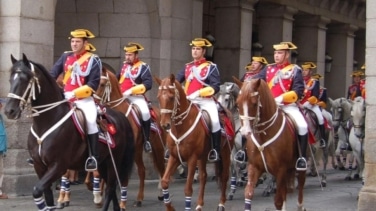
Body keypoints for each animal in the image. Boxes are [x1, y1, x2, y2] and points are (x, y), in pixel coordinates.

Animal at [4, 53, 134, 210]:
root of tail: (120, 116)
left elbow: (37, 190)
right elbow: (47, 196)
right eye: (10, 79)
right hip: (103, 162)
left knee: (110, 188)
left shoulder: (58, 166)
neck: (47, 122)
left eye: (26, 79)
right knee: (111, 187)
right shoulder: (39, 166)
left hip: (114, 160)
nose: (9, 111)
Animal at [94, 67, 167, 208]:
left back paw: (158, 194)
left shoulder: (125, 151)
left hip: (156, 148)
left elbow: (123, 177)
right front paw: (99, 196)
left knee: (160, 169)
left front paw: (122, 203)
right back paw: (141, 198)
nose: (93, 101)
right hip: (139, 150)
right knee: (143, 170)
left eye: (102, 84)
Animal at [154, 74, 234, 211]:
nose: (165, 125)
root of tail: (227, 112)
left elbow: (188, 189)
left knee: (224, 175)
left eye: (171, 97)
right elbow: (164, 182)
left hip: (225, 153)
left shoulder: (192, 158)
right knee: (203, 176)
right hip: (203, 156)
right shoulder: (174, 156)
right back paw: (199, 205)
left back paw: (221, 204)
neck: (181, 126)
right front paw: (170, 207)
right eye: (159, 97)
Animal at [234, 78, 306, 211]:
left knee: (300, 189)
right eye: (237, 104)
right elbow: (248, 193)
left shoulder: (281, 170)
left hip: (298, 167)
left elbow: (278, 201)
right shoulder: (254, 166)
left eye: (254, 103)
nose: (245, 132)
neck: (264, 135)